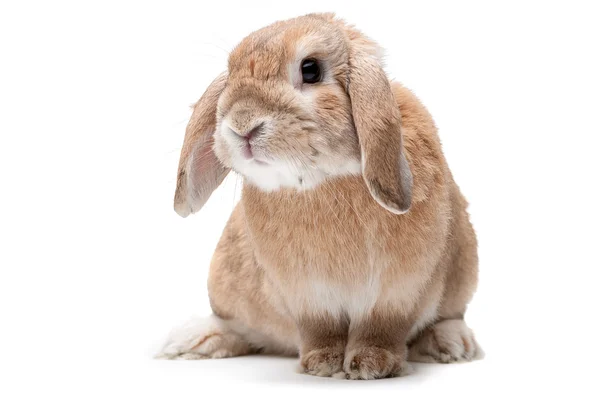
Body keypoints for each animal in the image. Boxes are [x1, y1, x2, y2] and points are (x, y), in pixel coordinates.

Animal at [158, 12, 482, 380]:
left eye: (310, 69)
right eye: (231, 74)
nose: (242, 126)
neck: (317, 181)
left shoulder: (396, 293)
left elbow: (381, 328)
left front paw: (371, 364)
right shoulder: (306, 296)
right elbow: (319, 329)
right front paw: (322, 364)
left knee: (449, 316)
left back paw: (452, 344)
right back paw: (190, 340)